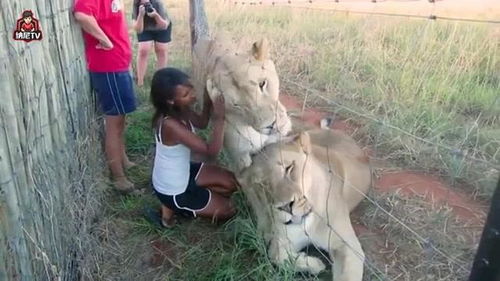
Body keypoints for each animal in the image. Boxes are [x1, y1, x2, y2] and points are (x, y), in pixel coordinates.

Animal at [238, 129, 372, 280]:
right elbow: (276, 255)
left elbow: (347, 276)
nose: (285, 207)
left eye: (289, 168)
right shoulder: (284, 239)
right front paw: (317, 265)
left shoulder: (347, 245)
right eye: (262, 185)